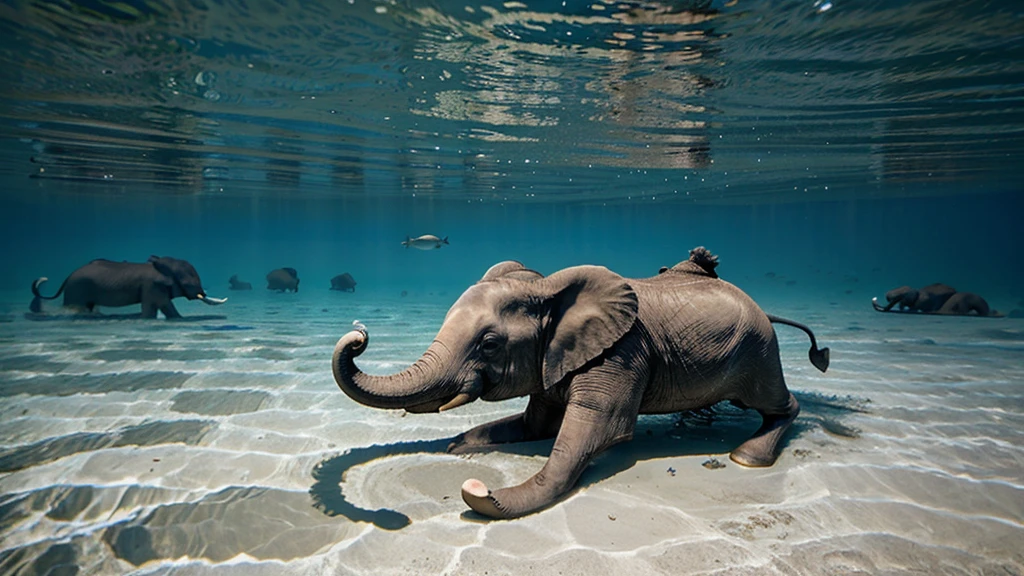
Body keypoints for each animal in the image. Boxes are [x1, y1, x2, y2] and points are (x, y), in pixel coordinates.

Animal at [331, 243, 827, 518]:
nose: (359, 335)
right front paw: (462, 445)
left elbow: (593, 433)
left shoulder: (621, 354)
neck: (548, 288)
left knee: (779, 406)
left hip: (758, 352)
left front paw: (483, 492)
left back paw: (747, 456)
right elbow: (536, 426)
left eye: (489, 344)